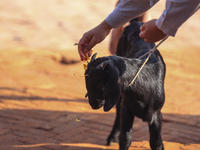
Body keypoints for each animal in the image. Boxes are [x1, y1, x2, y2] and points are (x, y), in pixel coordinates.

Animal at [84, 20, 166, 150]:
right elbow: (125, 139)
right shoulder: (126, 109)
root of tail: (136, 22)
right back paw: (112, 137)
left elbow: (156, 142)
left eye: (101, 85)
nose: (93, 104)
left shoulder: (156, 115)